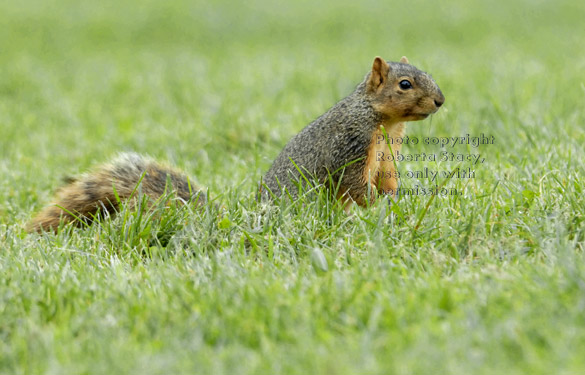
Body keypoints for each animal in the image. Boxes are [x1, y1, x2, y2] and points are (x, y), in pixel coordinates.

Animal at [28, 56, 442, 234]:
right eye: (405, 84)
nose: (440, 101)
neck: (383, 121)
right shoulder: (350, 146)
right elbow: (354, 184)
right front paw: (376, 205)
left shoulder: (388, 154)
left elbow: (388, 178)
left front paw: (395, 200)